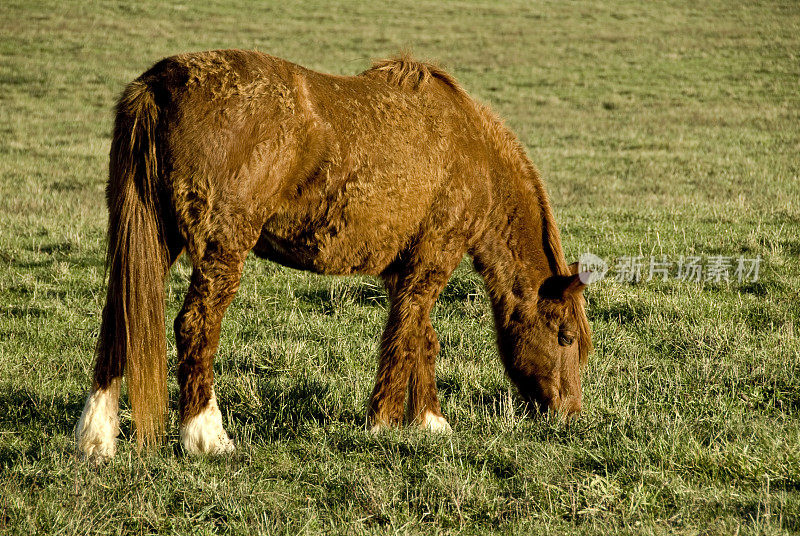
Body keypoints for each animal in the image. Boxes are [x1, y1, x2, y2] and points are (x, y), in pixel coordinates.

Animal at [75, 51, 592, 460]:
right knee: (195, 325)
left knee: (120, 316)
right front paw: (383, 422)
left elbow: (419, 337)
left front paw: (429, 420)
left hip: (152, 239)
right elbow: (404, 337)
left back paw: (96, 437)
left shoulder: (403, 271)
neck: (472, 151)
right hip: (222, 248)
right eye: (565, 337)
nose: (568, 415)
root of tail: (157, 84)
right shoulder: (432, 261)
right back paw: (206, 435)